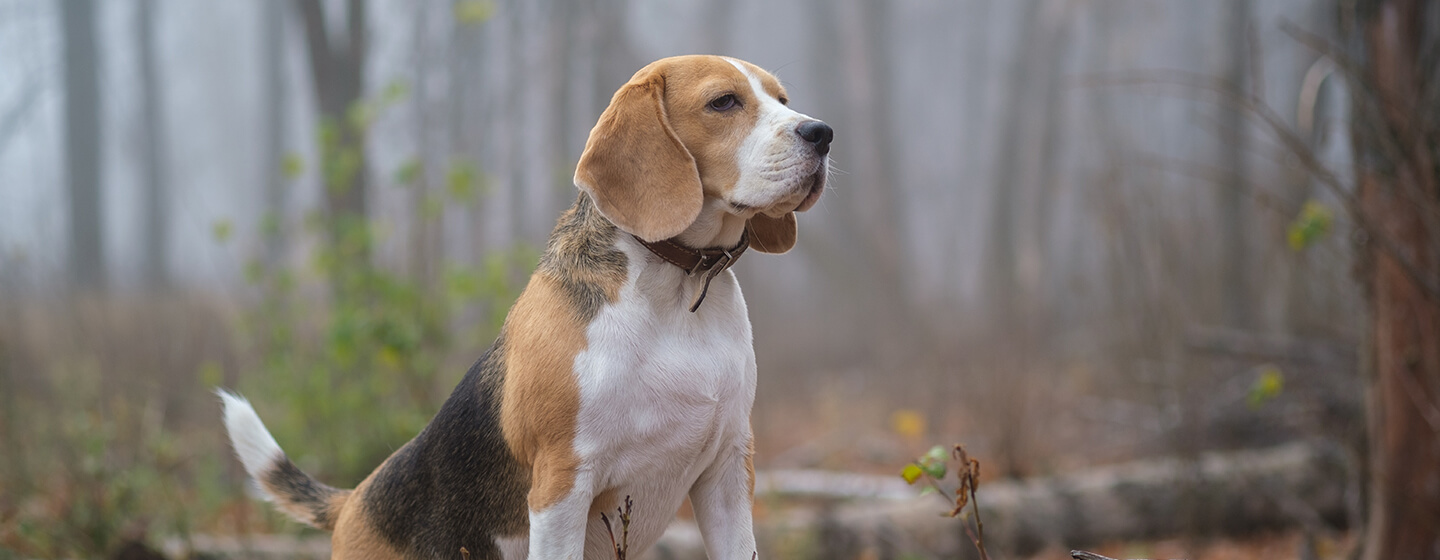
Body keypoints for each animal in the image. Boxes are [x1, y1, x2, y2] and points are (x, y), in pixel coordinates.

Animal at [221, 53, 835, 558]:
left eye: (782, 99)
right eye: (723, 102)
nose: (823, 132)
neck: (680, 288)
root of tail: (354, 501)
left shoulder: (728, 474)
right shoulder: (562, 484)